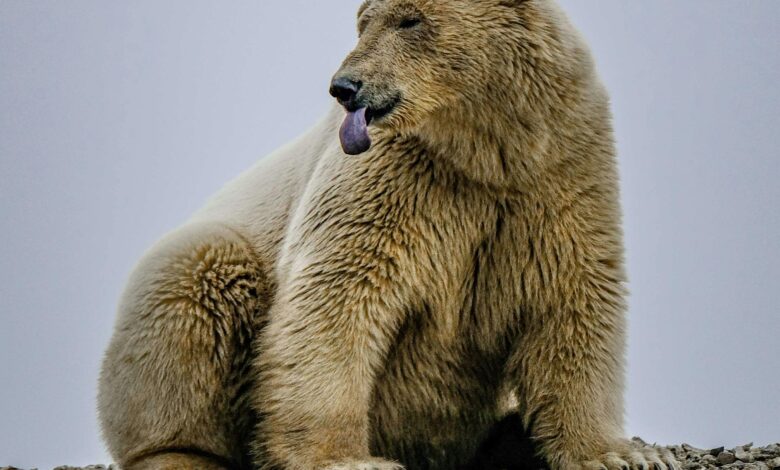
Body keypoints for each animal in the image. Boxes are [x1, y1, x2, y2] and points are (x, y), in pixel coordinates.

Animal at [98, 1, 679, 469]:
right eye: (363, 18)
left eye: (410, 19)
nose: (344, 87)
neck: (485, 151)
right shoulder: (391, 178)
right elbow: (337, 295)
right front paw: (347, 459)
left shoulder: (562, 168)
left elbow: (572, 296)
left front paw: (620, 454)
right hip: (205, 264)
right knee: (197, 280)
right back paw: (181, 454)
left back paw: (511, 437)